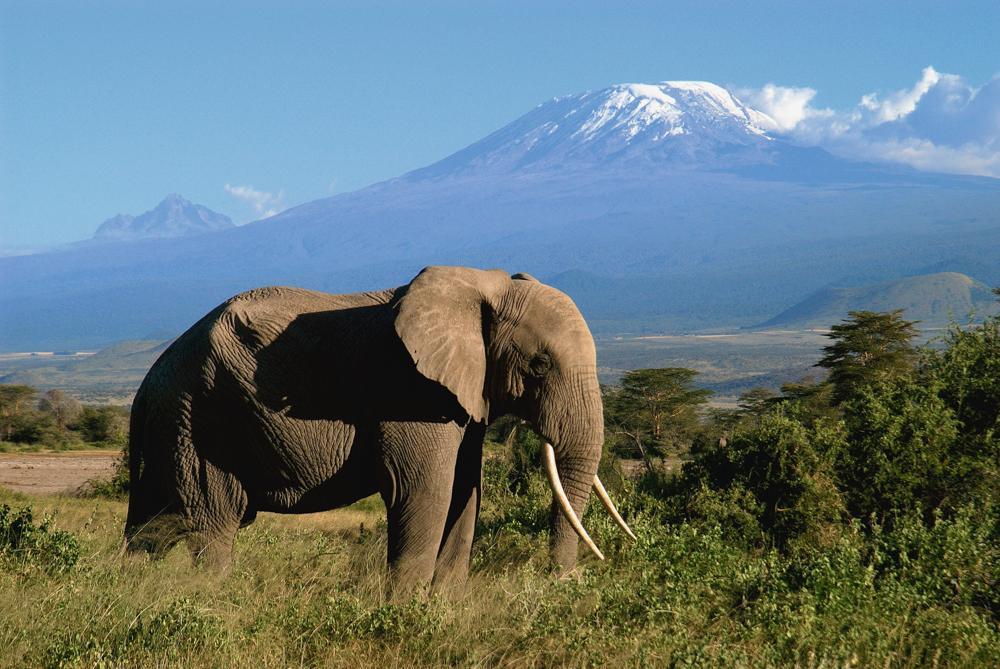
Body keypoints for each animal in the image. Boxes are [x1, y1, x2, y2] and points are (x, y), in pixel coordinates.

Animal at [124, 265, 633, 592]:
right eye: (540, 365)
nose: (568, 580)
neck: (484, 286)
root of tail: (146, 384)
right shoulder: (409, 391)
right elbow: (426, 490)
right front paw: (406, 612)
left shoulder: (463, 398)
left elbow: (466, 493)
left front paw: (446, 608)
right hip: (200, 420)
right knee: (214, 524)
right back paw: (210, 601)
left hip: (175, 424)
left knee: (152, 523)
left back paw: (130, 590)